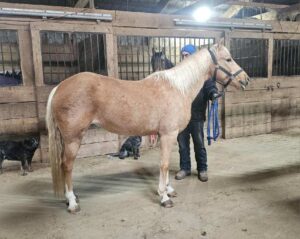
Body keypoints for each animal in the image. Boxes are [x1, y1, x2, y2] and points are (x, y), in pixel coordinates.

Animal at [45, 39, 250, 213]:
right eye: (228, 59)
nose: (246, 80)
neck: (178, 88)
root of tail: (60, 87)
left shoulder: (168, 135)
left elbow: (165, 163)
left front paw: (168, 189)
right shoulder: (168, 134)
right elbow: (164, 164)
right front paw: (164, 197)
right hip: (73, 139)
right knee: (67, 165)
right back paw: (72, 202)